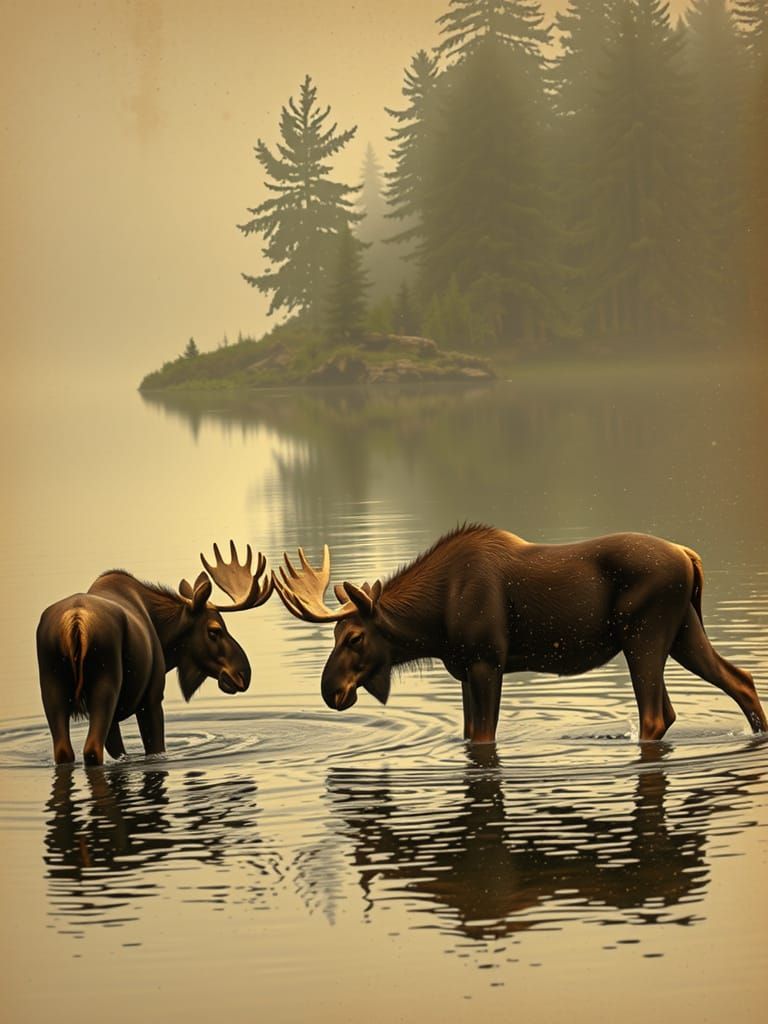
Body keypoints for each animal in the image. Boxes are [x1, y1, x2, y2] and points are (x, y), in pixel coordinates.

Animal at [37, 542, 273, 766]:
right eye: (215, 630)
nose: (243, 674)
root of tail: (76, 621)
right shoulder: (151, 698)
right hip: (105, 685)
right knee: (92, 749)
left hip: (51, 687)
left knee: (64, 750)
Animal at [273, 525, 767, 745]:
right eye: (335, 633)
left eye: (354, 637)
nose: (329, 690)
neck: (433, 623)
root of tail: (690, 555)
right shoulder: (463, 668)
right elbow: (469, 732)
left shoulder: (487, 661)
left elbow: (484, 737)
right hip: (682, 631)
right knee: (739, 679)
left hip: (644, 636)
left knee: (656, 716)